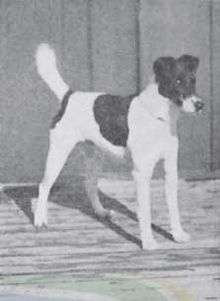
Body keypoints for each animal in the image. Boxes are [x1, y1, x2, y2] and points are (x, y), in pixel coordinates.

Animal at [33, 42, 204, 248]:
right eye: (177, 81)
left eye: (192, 80)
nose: (200, 105)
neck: (159, 117)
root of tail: (69, 96)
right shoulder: (141, 173)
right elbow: (145, 211)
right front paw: (148, 242)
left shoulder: (170, 169)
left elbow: (173, 207)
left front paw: (178, 235)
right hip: (58, 153)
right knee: (44, 186)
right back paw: (40, 221)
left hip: (94, 157)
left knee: (90, 185)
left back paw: (101, 212)